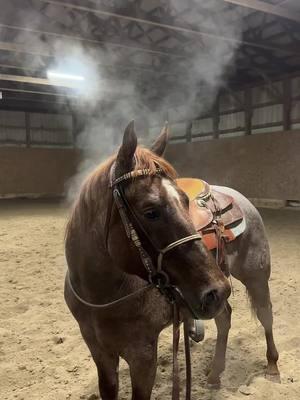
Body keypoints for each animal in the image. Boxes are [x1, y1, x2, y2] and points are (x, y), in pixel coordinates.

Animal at [64, 120, 280, 398]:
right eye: (150, 211)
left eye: (185, 201)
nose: (217, 290)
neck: (101, 295)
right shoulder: (100, 352)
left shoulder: (143, 354)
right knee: (225, 317)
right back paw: (215, 374)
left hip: (254, 276)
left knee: (265, 314)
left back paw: (272, 367)